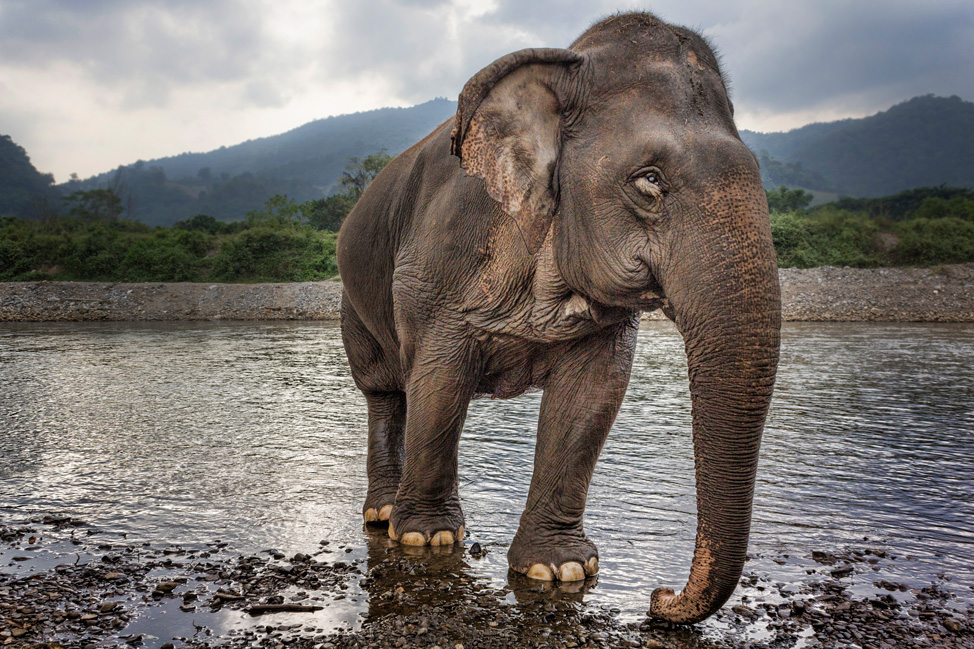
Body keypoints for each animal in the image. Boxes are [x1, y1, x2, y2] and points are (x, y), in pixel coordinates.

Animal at [340, 11, 780, 624]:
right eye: (650, 179)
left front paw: (560, 569)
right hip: (355, 299)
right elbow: (440, 378)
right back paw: (384, 515)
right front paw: (427, 540)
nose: (659, 597)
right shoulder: (435, 261)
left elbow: (590, 395)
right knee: (385, 388)